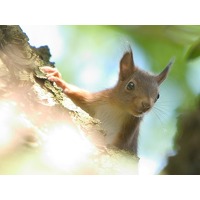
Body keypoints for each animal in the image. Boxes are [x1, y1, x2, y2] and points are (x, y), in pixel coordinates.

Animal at [42, 47, 173, 155]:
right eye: (130, 85)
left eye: (158, 96)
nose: (146, 105)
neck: (118, 108)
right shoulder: (97, 100)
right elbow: (80, 97)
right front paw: (59, 79)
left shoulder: (127, 132)